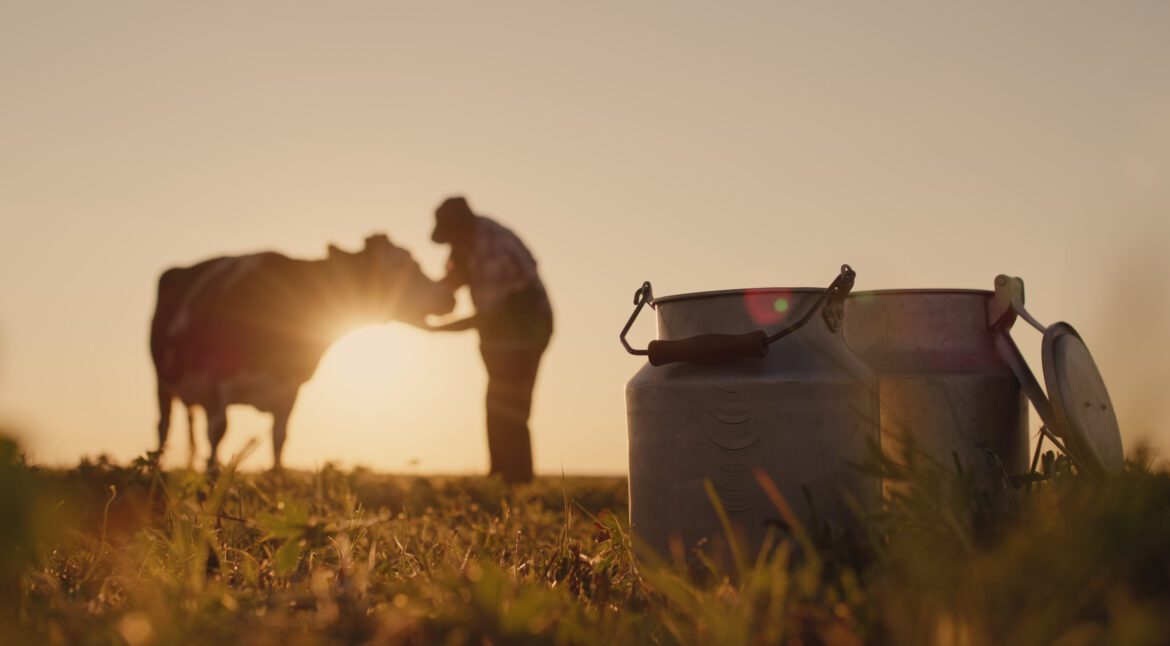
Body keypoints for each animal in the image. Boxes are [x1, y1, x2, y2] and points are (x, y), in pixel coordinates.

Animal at [150, 232, 451, 470]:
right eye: (399, 264)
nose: (445, 294)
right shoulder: (219, 380)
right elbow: (218, 433)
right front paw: (211, 482)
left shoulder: (290, 388)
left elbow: (279, 439)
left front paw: (276, 479)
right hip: (163, 381)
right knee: (163, 427)